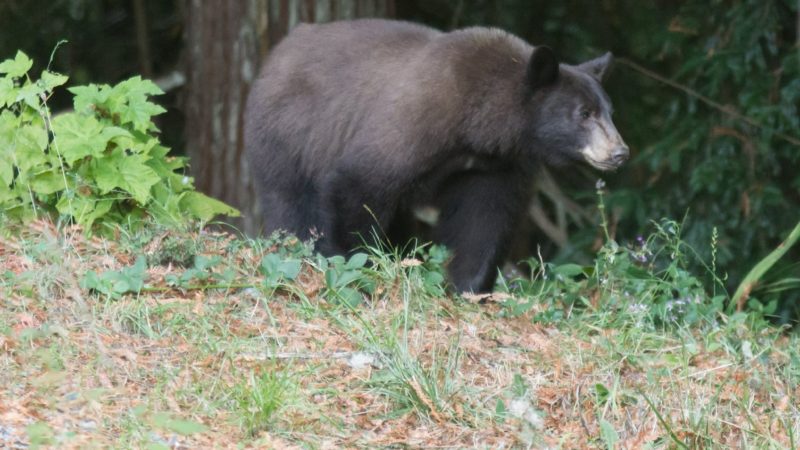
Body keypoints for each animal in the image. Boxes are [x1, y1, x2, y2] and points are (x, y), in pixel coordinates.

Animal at [244, 19, 628, 293]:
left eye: (609, 112)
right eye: (584, 114)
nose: (620, 152)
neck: (478, 126)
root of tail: (277, 54)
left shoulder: (497, 164)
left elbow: (485, 216)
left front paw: (468, 286)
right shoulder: (415, 124)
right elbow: (357, 183)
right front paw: (354, 263)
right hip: (288, 133)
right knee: (290, 200)